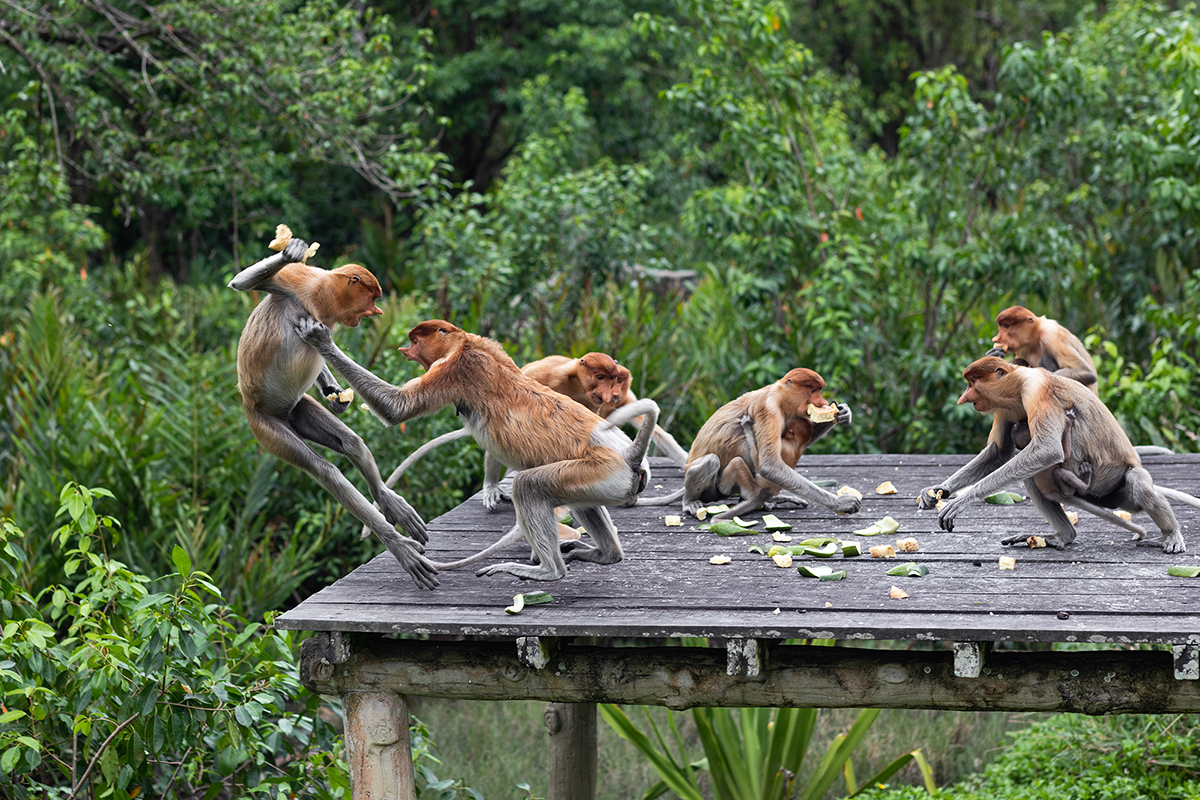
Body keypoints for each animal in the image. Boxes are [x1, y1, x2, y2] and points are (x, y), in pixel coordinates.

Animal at [226, 230, 434, 587]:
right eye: (372, 298)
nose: (376, 313)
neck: (322, 301)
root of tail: (254, 407)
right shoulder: (301, 282)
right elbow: (242, 282)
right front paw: (291, 251)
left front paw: (336, 394)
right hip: (266, 427)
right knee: (327, 472)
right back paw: (397, 544)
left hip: (298, 409)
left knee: (352, 443)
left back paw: (388, 502)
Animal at [296, 316, 662, 578]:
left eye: (416, 338)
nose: (406, 349)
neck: (466, 342)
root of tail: (631, 457)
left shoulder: (455, 368)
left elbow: (396, 408)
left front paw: (320, 338)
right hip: (599, 482)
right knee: (584, 505)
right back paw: (604, 554)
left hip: (597, 471)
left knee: (529, 486)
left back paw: (547, 571)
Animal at [643, 369, 859, 520]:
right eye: (814, 391)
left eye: (820, 391)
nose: (822, 401)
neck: (779, 396)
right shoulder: (769, 410)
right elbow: (770, 465)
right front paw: (842, 503)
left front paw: (843, 414)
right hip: (712, 487)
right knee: (712, 461)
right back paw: (690, 501)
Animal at [912, 359, 1195, 554]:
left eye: (972, 384)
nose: (963, 398)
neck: (1017, 384)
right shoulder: (1004, 407)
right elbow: (998, 452)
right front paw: (938, 490)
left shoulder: (1036, 391)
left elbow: (1047, 450)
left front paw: (961, 501)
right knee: (1033, 479)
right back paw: (1061, 536)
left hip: (1119, 489)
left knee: (1138, 483)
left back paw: (1170, 535)